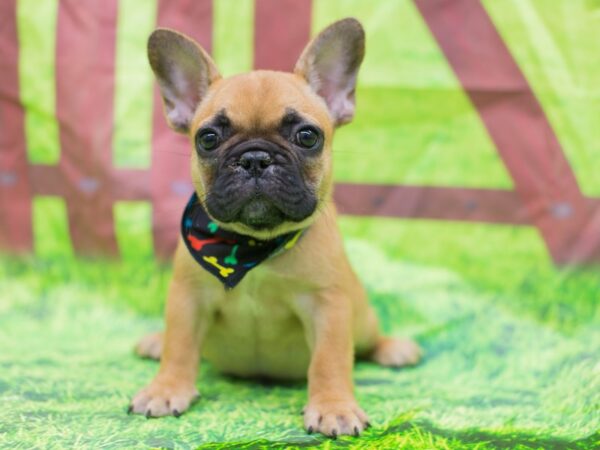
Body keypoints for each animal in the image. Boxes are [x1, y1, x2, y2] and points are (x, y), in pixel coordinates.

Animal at [130, 18, 422, 440]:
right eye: (208, 138)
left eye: (307, 136)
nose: (255, 158)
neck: (252, 247)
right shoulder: (188, 298)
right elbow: (180, 346)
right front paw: (166, 389)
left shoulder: (328, 307)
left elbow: (330, 360)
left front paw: (333, 407)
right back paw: (155, 342)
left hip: (362, 317)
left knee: (367, 339)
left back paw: (393, 348)